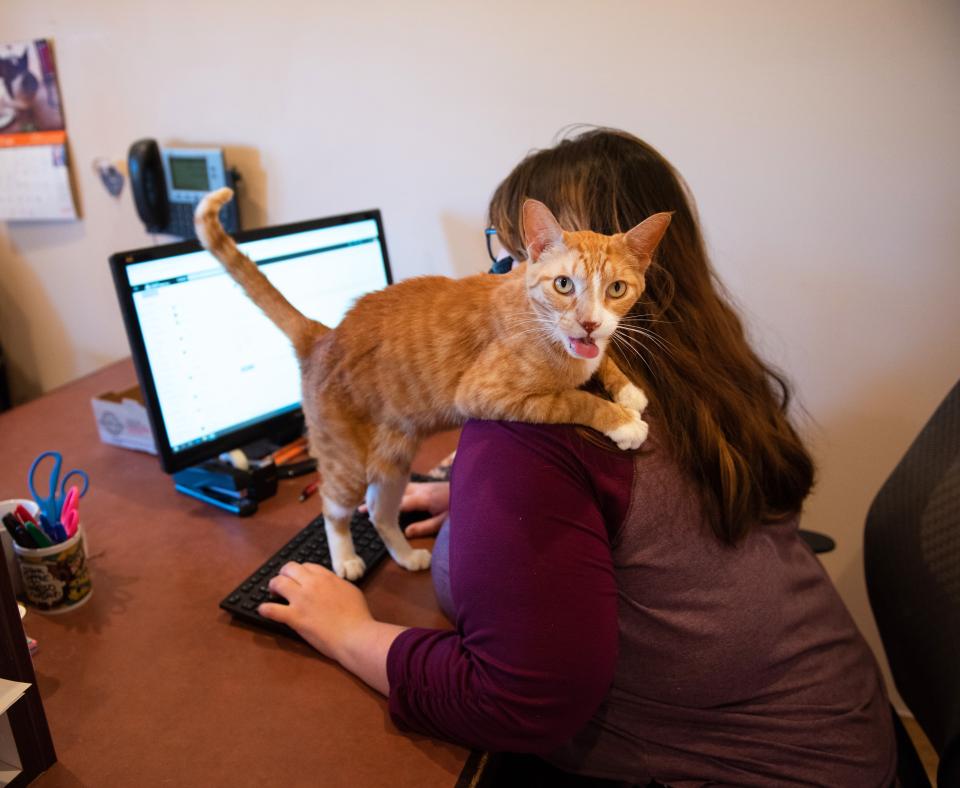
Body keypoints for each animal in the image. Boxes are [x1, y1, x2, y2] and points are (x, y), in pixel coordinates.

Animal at [197, 186, 668, 580]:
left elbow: (601, 361)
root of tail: (323, 335)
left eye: (617, 289)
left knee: (379, 511)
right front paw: (622, 421)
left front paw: (627, 389)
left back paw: (405, 555)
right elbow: (573, 399)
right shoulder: (488, 395)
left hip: (392, 461)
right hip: (347, 461)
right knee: (333, 506)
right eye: (564, 284)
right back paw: (346, 559)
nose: (589, 323)